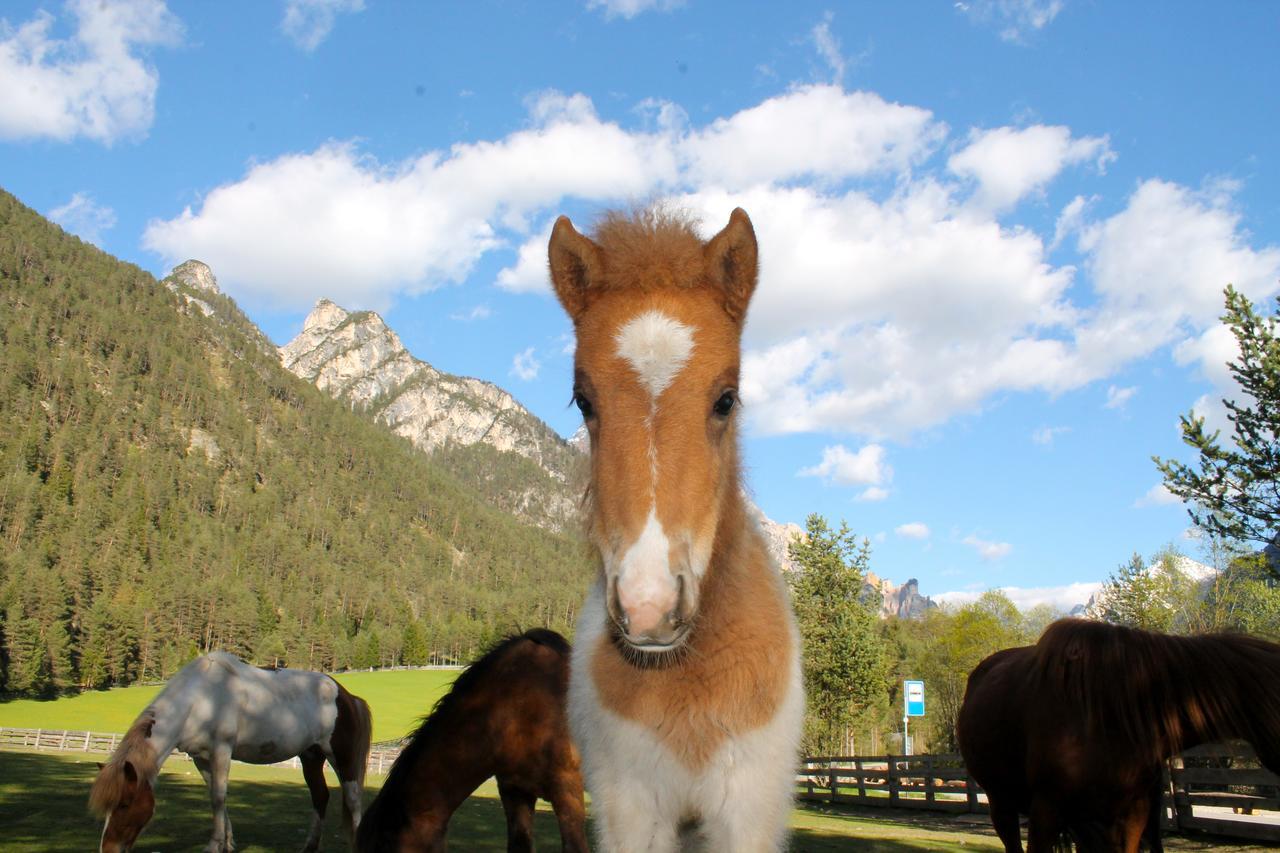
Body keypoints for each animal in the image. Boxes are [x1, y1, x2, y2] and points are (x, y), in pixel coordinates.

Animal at [88, 648, 371, 845]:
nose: (108, 849)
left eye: (124, 804)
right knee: (320, 796)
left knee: (353, 799)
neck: (201, 699)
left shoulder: (222, 751)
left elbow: (218, 797)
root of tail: (347, 696)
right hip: (311, 757)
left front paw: (215, 845)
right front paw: (227, 842)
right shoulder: (201, 758)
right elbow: (215, 796)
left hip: (342, 757)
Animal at [547, 206, 798, 850]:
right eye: (583, 400)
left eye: (726, 398)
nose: (648, 607)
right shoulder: (630, 808)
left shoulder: (749, 807)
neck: (688, 676)